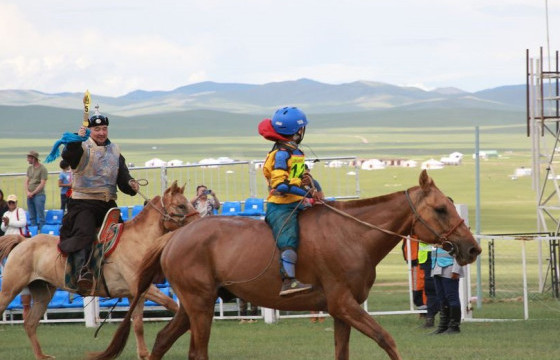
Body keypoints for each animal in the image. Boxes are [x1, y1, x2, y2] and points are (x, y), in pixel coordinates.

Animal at [0, 181, 200, 360]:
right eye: (181, 205)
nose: (198, 223)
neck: (138, 241)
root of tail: (23, 241)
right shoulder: (144, 290)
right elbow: (171, 305)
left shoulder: (136, 294)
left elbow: (138, 324)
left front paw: (144, 354)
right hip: (10, 289)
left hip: (43, 292)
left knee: (30, 323)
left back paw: (42, 356)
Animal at [92, 169, 482, 360]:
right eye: (441, 208)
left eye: (450, 205)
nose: (473, 248)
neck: (353, 234)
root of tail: (174, 237)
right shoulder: (344, 304)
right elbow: (387, 340)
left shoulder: (341, 311)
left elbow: (344, 352)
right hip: (200, 307)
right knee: (196, 352)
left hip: (191, 306)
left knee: (161, 342)